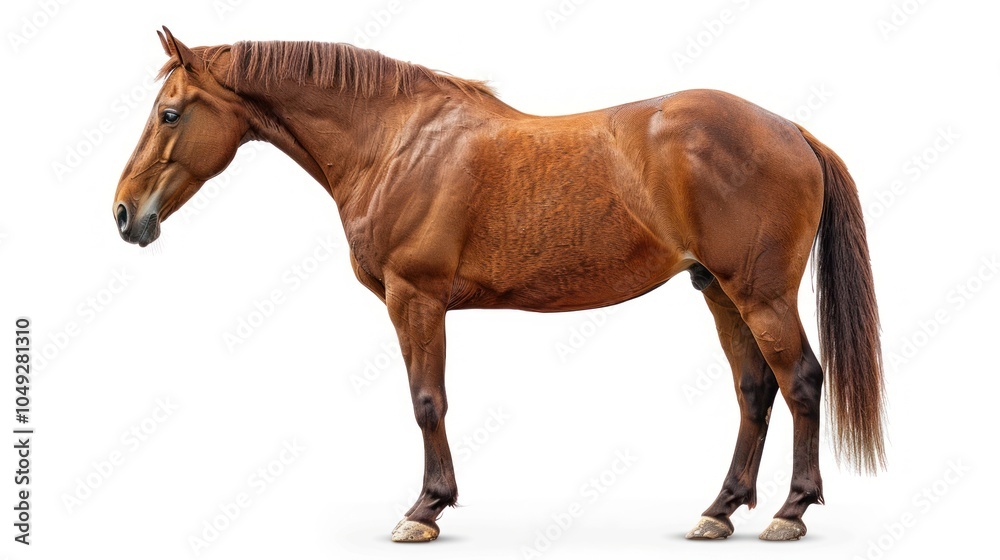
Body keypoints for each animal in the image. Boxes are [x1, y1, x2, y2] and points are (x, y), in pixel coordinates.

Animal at [114, 27, 885, 543]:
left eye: (170, 113)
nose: (124, 214)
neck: (392, 142)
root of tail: (792, 130)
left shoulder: (415, 298)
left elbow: (427, 401)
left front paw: (424, 510)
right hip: (719, 290)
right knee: (755, 391)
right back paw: (719, 511)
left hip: (761, 295)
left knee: (801, 381)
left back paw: (790, 512)